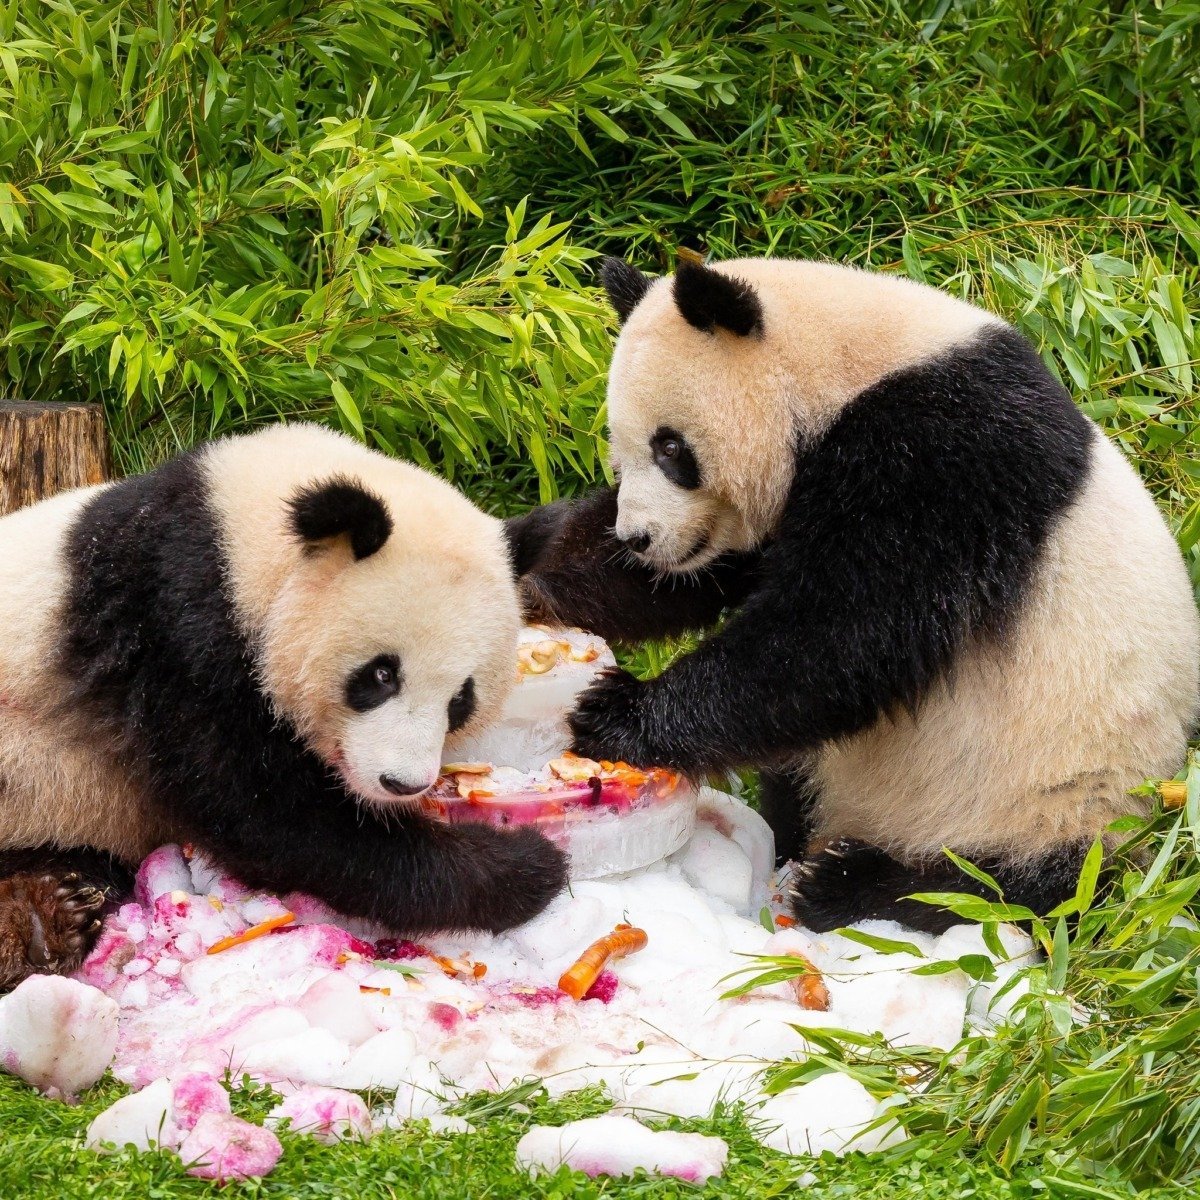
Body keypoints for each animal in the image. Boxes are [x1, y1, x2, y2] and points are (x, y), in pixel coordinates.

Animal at [0, 423, 566, 988]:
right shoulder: (179, 628)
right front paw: (528, 865)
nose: (403, 784)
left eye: (461, 699)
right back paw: (39, 923)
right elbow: (267, 814)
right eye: (381, 675)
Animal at [507, 255, 1200, 933]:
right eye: (620, 458)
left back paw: (850, 884)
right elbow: (712, 578)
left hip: (1058, 791)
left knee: (1011, 886)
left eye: (671, 448)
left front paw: (617, 713)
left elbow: (849, 631)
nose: (640, 538)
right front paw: (534, 581)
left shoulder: (944, 454)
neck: (844, 366)